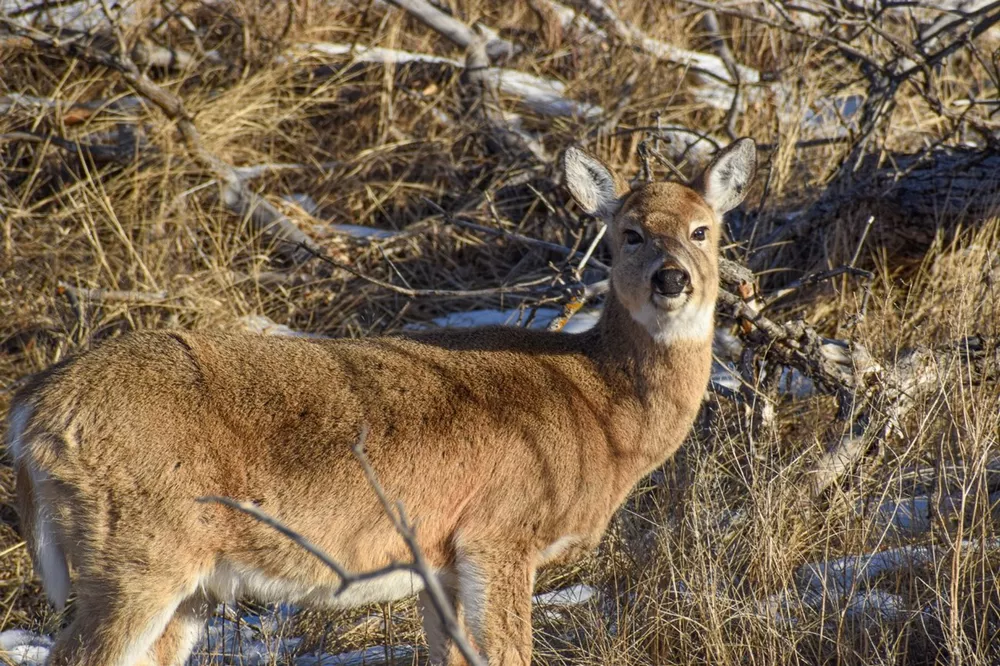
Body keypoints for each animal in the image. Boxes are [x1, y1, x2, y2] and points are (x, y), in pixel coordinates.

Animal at [3, 136, 752, 664]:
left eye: (704, 230)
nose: (672, 279)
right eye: (629, 232)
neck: (598, 408)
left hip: (186, 581)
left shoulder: (441, 561)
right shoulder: (499, 531)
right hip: (136, 548)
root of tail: (34, 409)